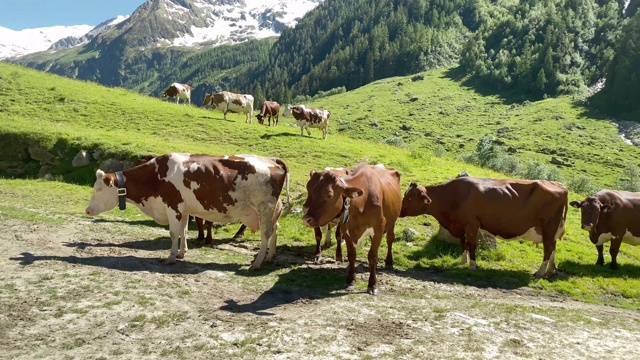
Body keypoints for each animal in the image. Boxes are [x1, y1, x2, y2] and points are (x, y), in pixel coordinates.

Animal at [85, 153, 290, 270]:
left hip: (264, 208)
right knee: (275, 229)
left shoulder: (172, 206)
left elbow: (173, 233)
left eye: (98, 189)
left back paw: (257, 263)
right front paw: (182, 253)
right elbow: (183, 231)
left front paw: (170, 257)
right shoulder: (183, 209)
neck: (156, 176)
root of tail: (271, 160)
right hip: (270, 211)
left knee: (266, 234)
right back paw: (269, 257)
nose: (87, 210)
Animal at [302, 163, 400, 296]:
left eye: (329, 195)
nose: (306, 218)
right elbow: (351, 255)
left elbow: (372, 256)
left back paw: (389, 262)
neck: (361, 203)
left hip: (392, 222)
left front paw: (372, 285)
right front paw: (350, 281)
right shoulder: (346, 229)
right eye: (312, 191)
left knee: (390, 239)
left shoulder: (379, 228)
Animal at [402, 176, 568, 278]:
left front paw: (472, 266)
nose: (400, 210)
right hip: (551, 231)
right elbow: (464, 244)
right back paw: (551, 269)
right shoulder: (462, 225)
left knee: (548, 249)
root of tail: (560, 185)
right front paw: (462, 261)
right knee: (553, 247)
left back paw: (540, 272)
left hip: (548, 227)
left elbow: (472, 245)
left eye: (410, 197)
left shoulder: (471, 224)